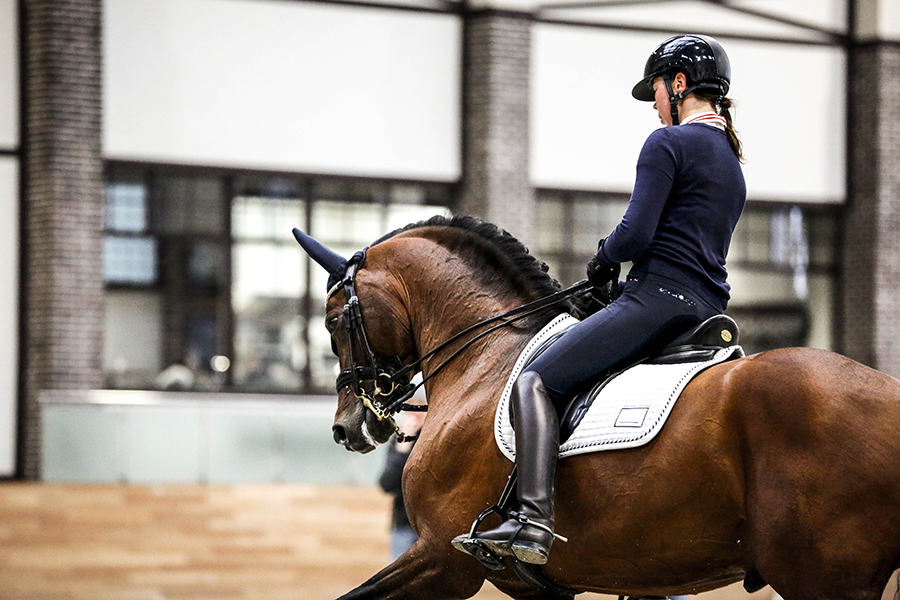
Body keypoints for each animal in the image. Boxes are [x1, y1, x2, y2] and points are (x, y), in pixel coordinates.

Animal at [298, 216, 900, 600]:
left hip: (822, 576)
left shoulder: (443, 559)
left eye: (332, 321)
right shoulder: (531, 587)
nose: (347, 428)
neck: (483, 360)